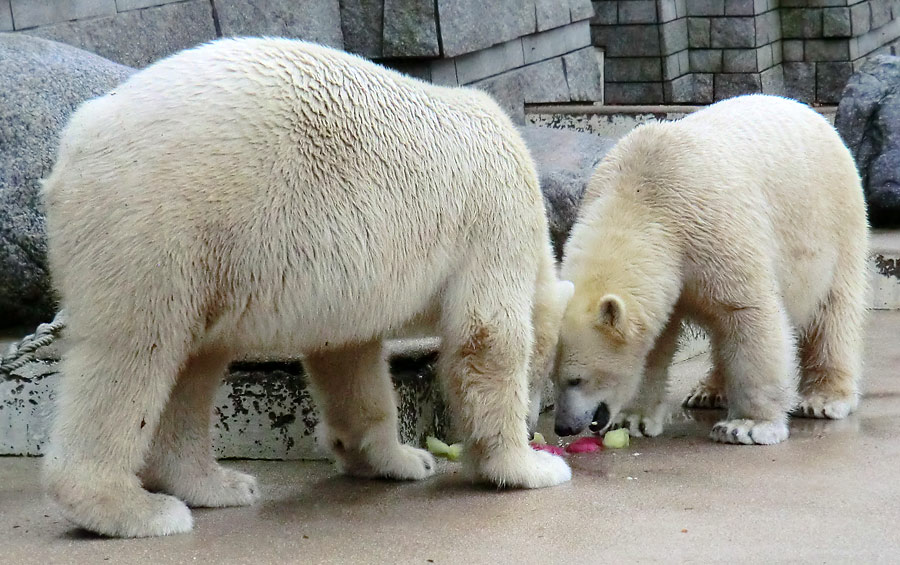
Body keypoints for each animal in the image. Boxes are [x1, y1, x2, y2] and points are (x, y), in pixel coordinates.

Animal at [40, 38, 568, 536]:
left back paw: (220, 485)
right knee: (134, 352)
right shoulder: (495, 217)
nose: (540, 427)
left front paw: (400, 460)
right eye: (547, 378)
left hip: (202, 255)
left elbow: (348, 356)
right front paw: (530, 467)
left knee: (194, 360)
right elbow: (488, 336)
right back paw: (133, 509)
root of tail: (74, 144)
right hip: (159, 223)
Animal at [552, 93, 868, 446]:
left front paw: (747, 426)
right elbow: (655, 340)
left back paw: (824, 399)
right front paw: (633, 419)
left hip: (834, 222)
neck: (641, 196)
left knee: (833, 312)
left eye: (577, 379)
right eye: (552, 377)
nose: (563, 427)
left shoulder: (712, 230)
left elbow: (749, 312)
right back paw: (708, 391)